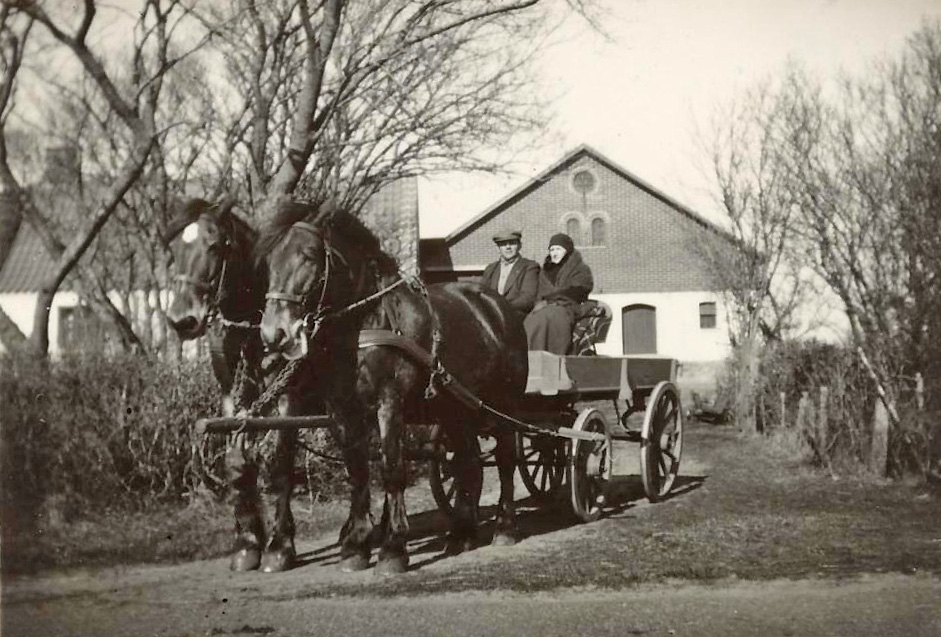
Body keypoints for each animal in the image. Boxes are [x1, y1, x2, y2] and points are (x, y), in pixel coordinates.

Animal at [164, 198, 301, 573]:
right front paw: (247, 544)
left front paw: (279, 546)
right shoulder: (232, 397)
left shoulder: (286, 398)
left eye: (215, 245)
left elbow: (276, 461)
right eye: (172, 249)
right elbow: (237, 462)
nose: (182, 321)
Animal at [256, 201, 528, 575]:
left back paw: (504, 527)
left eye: (309, 256)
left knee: (505, 459)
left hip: (505, 405)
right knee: (468, 463)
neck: (368, 322)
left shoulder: (389, 402)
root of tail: (498, 307)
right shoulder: (343, 409)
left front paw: (392, 549)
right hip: (457, 410)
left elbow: (391, 468)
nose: (274, 334)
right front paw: (355, 546)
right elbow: (357, 471)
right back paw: (461, 534)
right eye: (270, 261)